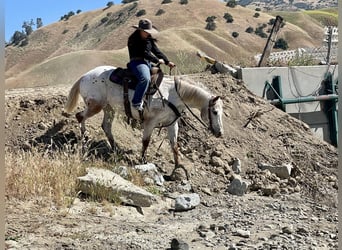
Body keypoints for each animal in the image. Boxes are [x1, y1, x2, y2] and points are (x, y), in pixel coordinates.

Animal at [64, 64, 224, 178]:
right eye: (215, 112)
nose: (220, 133)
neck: (172, 94)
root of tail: (84, 76)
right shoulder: (150, 122)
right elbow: (146, 141)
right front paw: (142, 161)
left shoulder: (172, 124)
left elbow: (174, 145)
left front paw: (178, 167)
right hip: (96, 106)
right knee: (80, 116)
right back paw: (84, 141)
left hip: (109, 108)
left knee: (106, 127)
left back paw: (115, 149)